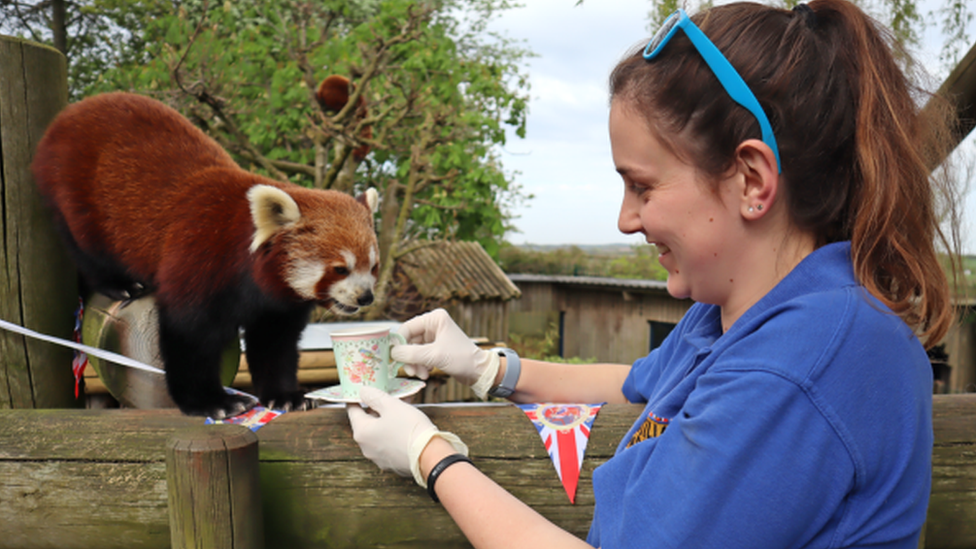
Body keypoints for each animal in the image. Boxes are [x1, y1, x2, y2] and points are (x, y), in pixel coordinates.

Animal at [32, 92, 380, 416]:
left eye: (373, 267)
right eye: (340, 268)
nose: (366, 297)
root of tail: (69, 114)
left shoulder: (278, 303)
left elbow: (274, 343)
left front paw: (284, 395)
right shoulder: (200, 257)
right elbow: (190, 335)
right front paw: (210, 402)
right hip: (75, 192)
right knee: (85, 246)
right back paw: (119, 283)